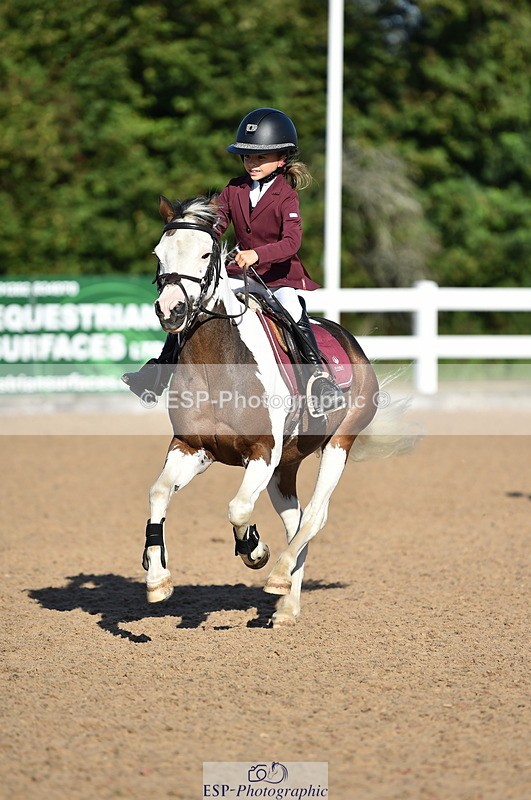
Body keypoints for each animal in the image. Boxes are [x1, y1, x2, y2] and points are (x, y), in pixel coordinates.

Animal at [141, 194, 390, 627]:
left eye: (206, 254)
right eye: (159, 253)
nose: (170, 310)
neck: (215, 363)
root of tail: (349, 341)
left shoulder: (261, 451)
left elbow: (238, 508)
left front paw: (255, 551)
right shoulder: (192, 446)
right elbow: (159, 492)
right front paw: (157, 578)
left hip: (337, 443)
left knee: (315, 516)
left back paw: (278, 576)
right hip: (284, 467)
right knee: (296, 520)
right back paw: (287, 604)